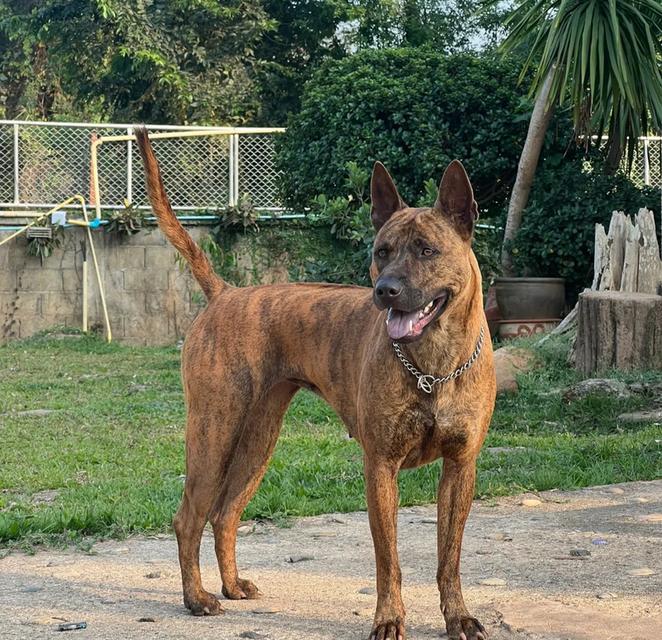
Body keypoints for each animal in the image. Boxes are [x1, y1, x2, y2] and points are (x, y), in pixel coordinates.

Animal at [136, 126, 498, 640]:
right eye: (382, 251)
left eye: (428, 250)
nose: (385, 290)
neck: (433, 364)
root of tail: (224, 292)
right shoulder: (380, 467)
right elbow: (389, 561)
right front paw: (389, 619)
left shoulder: (460, 467)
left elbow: (449, 558)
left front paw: (458, 616)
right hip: (214, 433)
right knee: (189, 518)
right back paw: (197, 598)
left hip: (258, 440)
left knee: (225, 515)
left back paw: (231, 585)